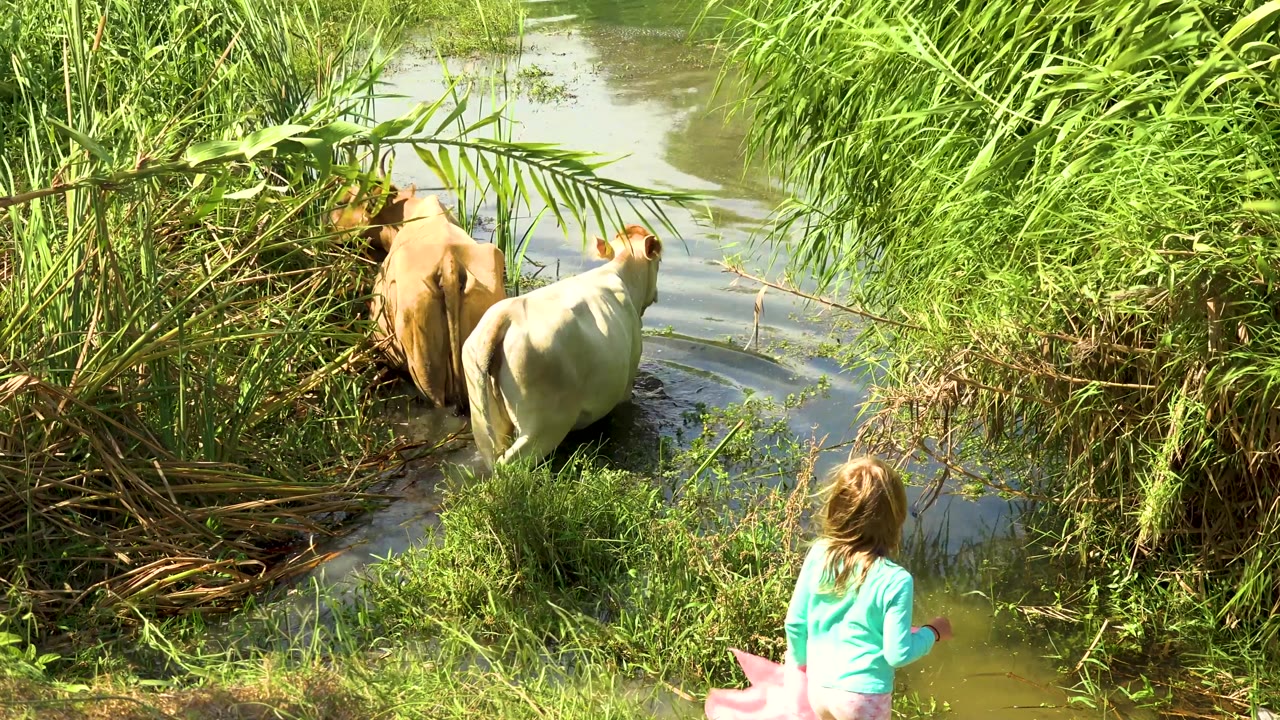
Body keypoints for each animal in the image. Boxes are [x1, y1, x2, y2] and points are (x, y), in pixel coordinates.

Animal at [462, 224, 663, 468]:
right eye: (659, 262)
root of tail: (506, 314)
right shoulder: (628, 379)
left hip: (483, 417)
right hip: (544, 426)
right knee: (511, 465)